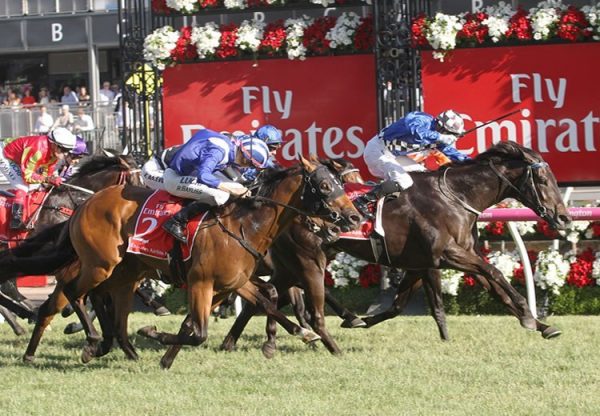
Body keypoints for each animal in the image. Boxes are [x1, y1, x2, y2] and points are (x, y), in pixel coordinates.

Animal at [11, 157, 360, 368]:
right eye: (325, 186)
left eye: (340, 183)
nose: (354, 217)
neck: (245, 224)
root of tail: (83, 205)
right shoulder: (201, 282)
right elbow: (198, 331)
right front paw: (154, 335)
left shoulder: (235, 281)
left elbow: (267, 300)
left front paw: (301, 334)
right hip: (100, 264)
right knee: (70, 293)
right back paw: (88, 341)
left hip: (123, 274)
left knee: (106, 307)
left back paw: (116, 348)